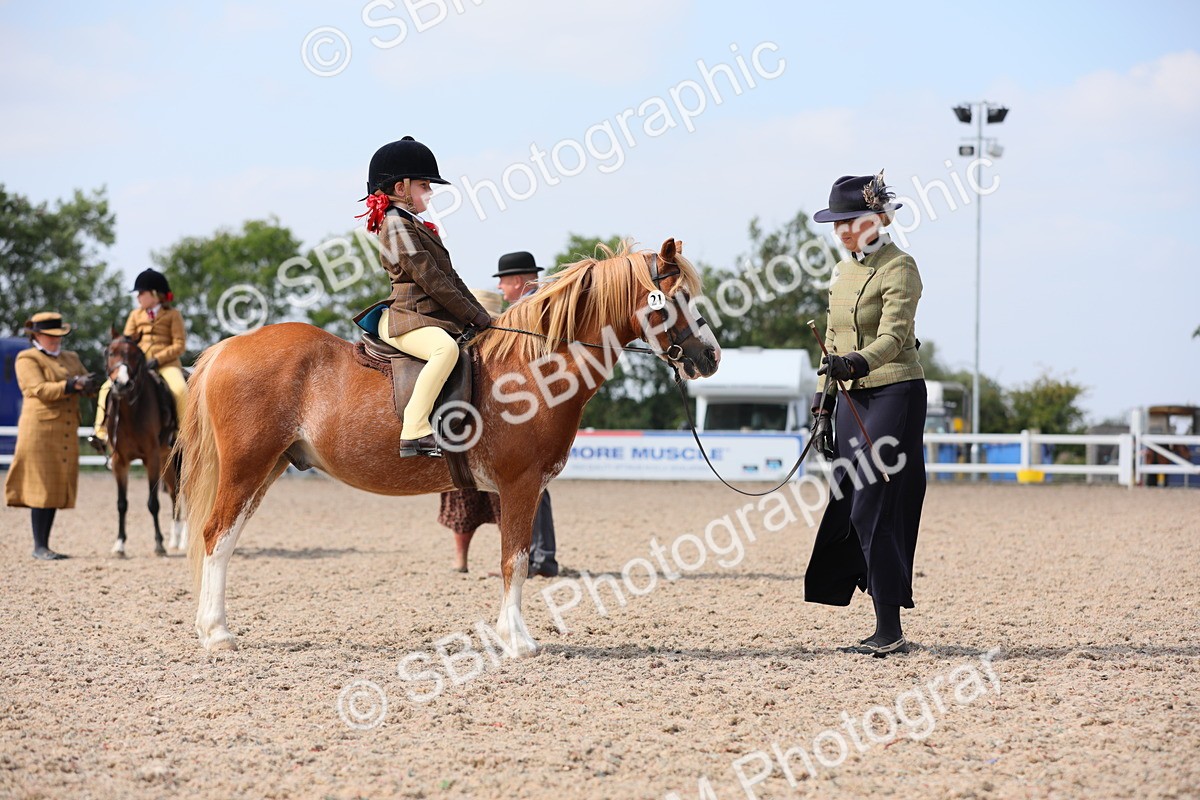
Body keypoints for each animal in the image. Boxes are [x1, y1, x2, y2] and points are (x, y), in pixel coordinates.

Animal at [102, 329, 185, 556]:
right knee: (175, 493)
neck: (132, 412)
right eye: (110, 352)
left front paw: (159, 544)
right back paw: (176, 539)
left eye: (136, 356)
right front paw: (119, 544)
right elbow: (122, 503)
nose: (121, 384)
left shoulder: (152, 458)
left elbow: (153, 502)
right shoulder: (120, 461)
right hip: (168, 462)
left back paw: (183, 540)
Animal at [178, 238, 721, 653]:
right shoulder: (521, 486)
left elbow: (513, 558)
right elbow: (514, 560)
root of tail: (226, 348)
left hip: (266, 470)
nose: (711, 356)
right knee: (216, 537)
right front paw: (518, 641)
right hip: (247, 467)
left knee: (225, 539)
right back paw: (217, 634)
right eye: (677, 298)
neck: (533, 368)